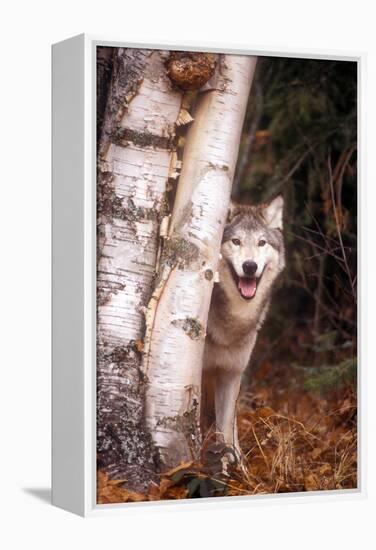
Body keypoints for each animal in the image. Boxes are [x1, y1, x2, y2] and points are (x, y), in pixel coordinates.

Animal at [203, 196, 284, 464]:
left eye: (261, 242)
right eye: (236, 241)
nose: (250, 266)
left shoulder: (231, 373)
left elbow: (227, 426)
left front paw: (233, 464)